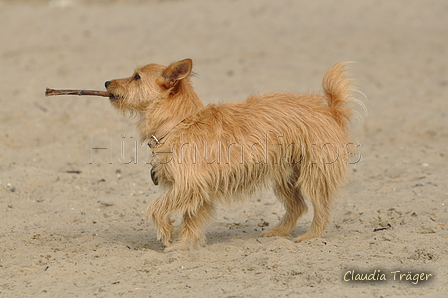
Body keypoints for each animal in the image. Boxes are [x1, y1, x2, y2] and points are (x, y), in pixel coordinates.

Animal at [106, 58, 360, 251]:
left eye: (136, 77)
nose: (107, 81)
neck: (179, 122)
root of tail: (330, 110)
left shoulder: (188, 185)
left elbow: (156, 208)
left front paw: (168, 234)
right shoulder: (194, 190)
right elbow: (190, 219)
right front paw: (185, 244)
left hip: (313, 174)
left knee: (321, 208)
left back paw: (311, 236)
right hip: (286, 177)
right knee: (298, 207)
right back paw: (278, 232)